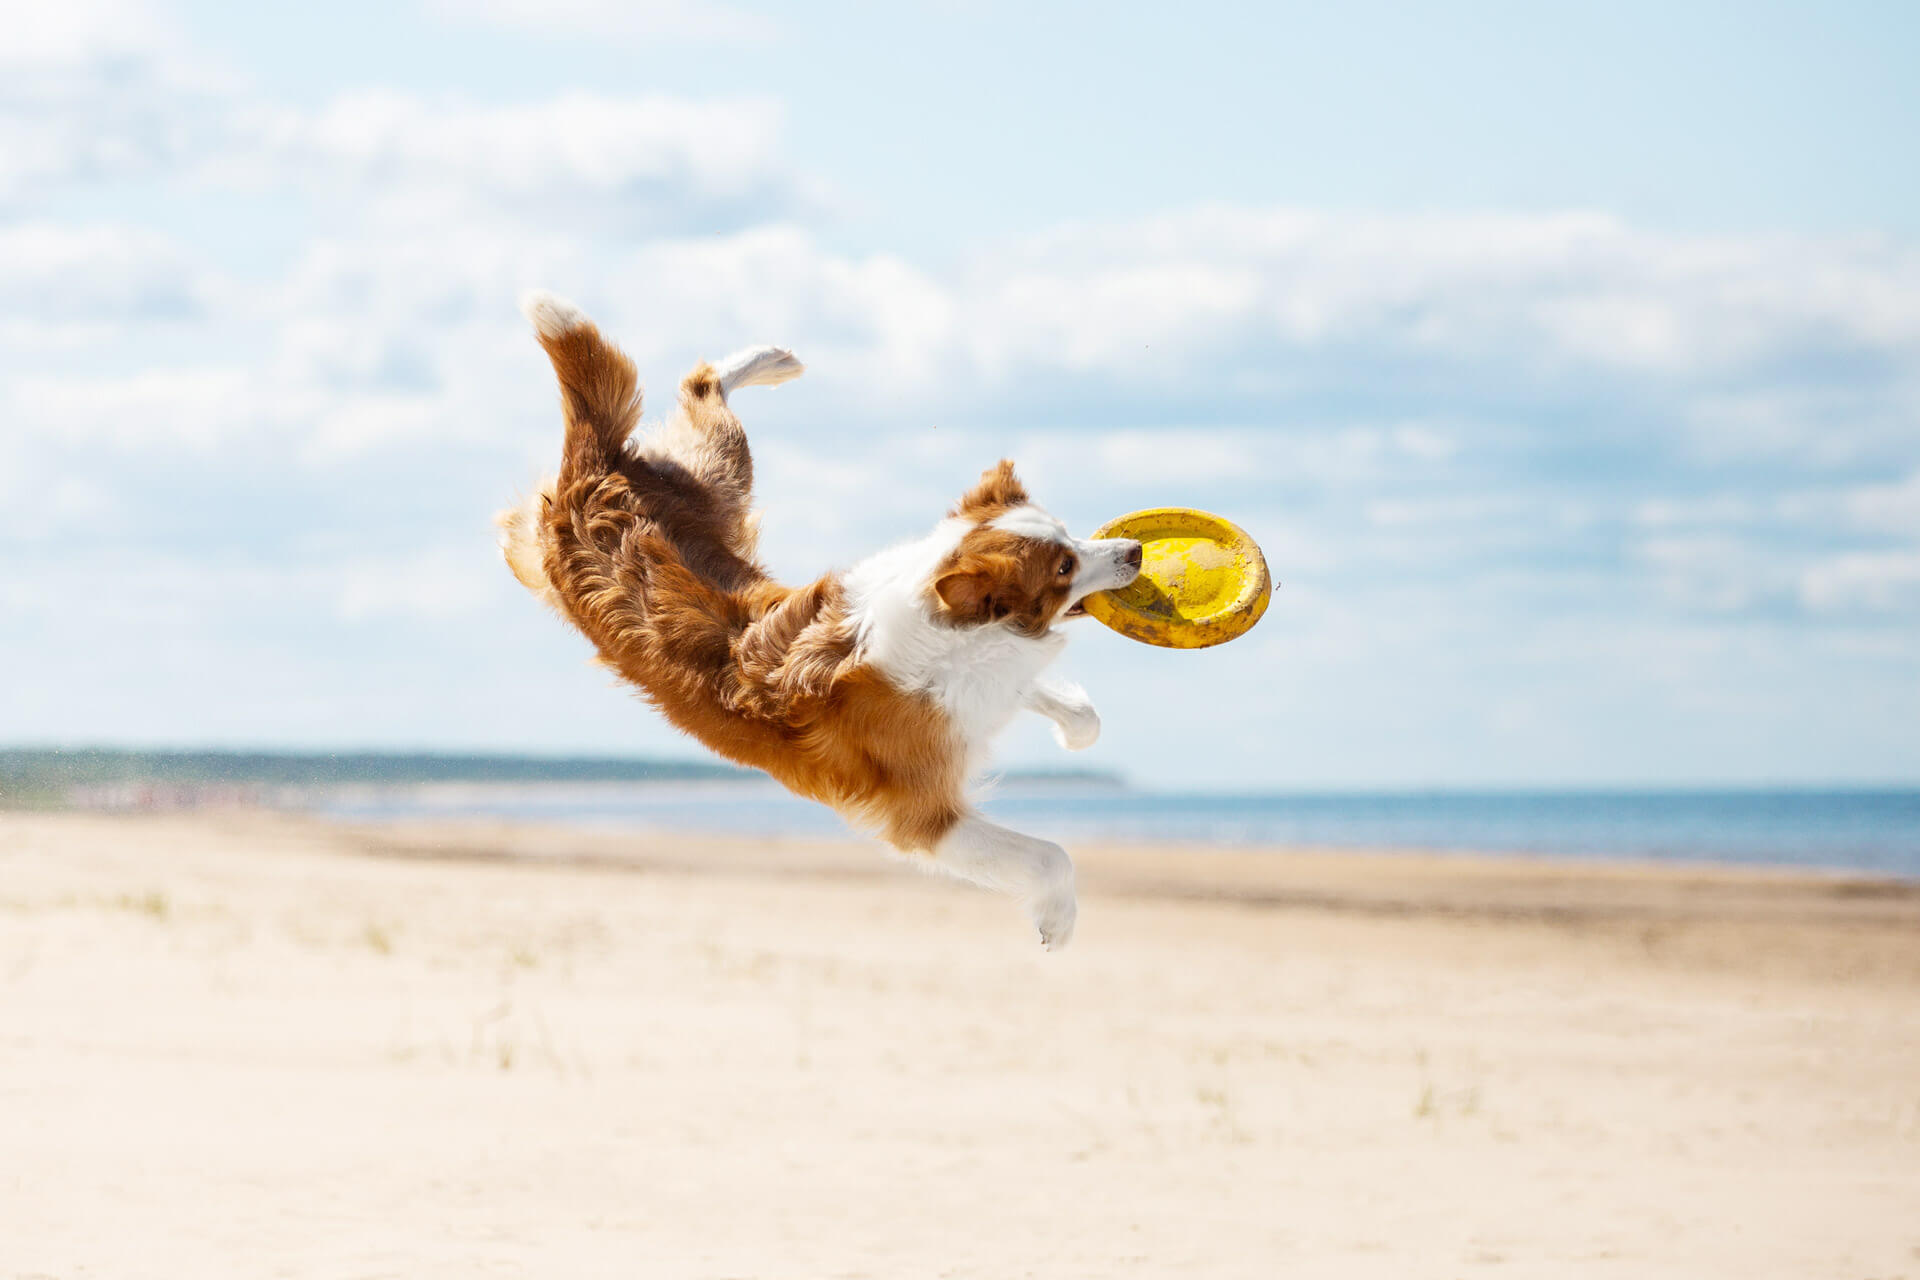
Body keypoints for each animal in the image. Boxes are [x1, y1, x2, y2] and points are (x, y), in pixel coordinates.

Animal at [503, 293, 1144, 951]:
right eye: (1064, 566)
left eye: (1068, 533)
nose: (1136, 551)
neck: (951, 631)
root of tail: (593, 472)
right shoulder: (924, 812)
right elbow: (1050, 856)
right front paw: (1057, 922)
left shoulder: (986, 690)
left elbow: (1072, 711)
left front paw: (1073, 730)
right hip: (718, 478)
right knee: (702, 389)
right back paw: (766, 361)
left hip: (711, 484)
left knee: (700, 392)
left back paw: (771, 359)